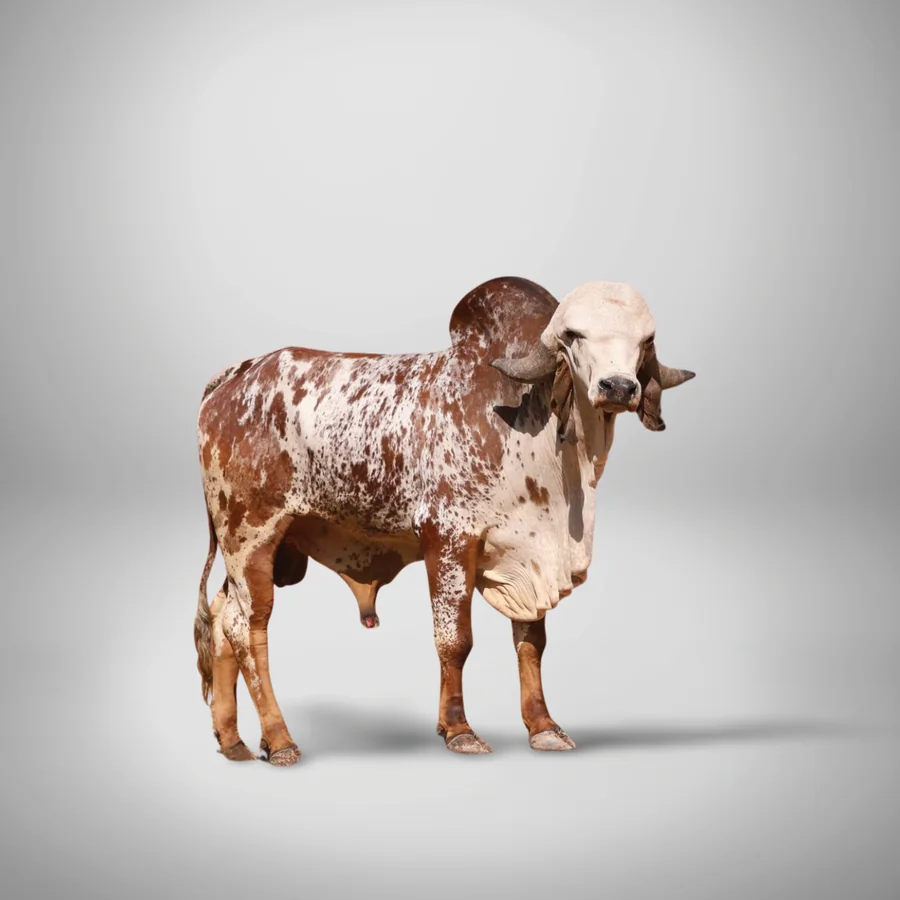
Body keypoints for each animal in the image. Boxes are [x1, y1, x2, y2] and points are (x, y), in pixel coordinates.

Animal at [194, 277, 694, 765]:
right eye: (574, 335)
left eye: (645, 339)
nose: (618, 387)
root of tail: (237, 373)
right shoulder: (449, 540)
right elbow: (455, 640)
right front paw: (459, 730)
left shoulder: (529, 554)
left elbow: (531, 641)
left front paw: (543, 727)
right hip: (250, 538)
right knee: (246, 628)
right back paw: (279, 740)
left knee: (219, 621)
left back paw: (233, 741)